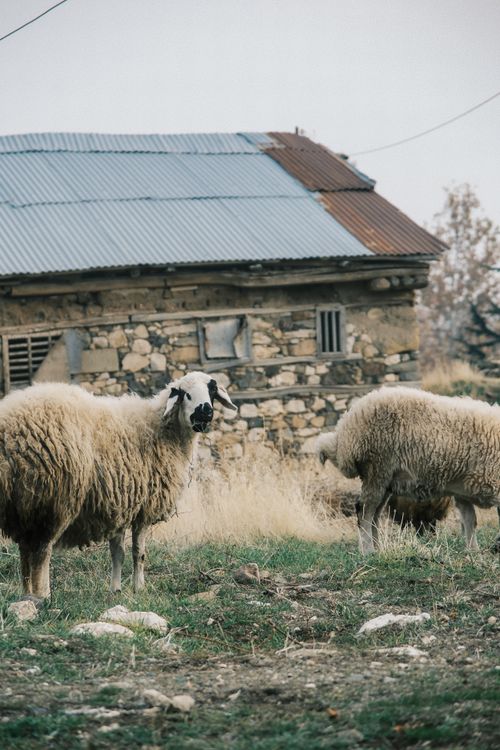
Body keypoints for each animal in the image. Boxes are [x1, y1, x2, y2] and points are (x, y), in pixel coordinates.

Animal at [0, 371, 237, 597]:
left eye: (212, 390)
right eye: (185, 394)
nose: (205, 412)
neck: (161, 430)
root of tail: (8, 433)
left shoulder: (119, 503)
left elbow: (117, 553)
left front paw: (116, 590)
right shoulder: (143, 508)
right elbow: (138, 552)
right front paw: (139, 587)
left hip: (25, 507)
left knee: (25, 553)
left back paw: (27, 594)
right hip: (52, 500)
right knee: (42, 552)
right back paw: (43, 596)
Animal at [317, 386, 500, 555]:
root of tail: (343, 433)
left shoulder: (462, 490)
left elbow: (470, 520)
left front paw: (473, 552)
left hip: (385, 481)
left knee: (375, 514)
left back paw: (379, 549)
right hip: (376, 469)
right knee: (364, 511)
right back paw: (368, 551)